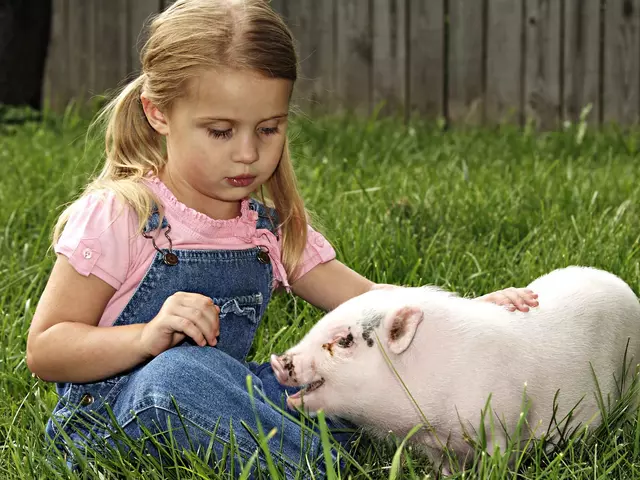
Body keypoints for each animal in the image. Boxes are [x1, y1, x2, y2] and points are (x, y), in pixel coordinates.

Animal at [268, 268, 640, 474]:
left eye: (344, 341)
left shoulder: (501, 424)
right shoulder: (436, 446)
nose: (278, 360)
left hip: (631, 376)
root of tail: (623, 286)